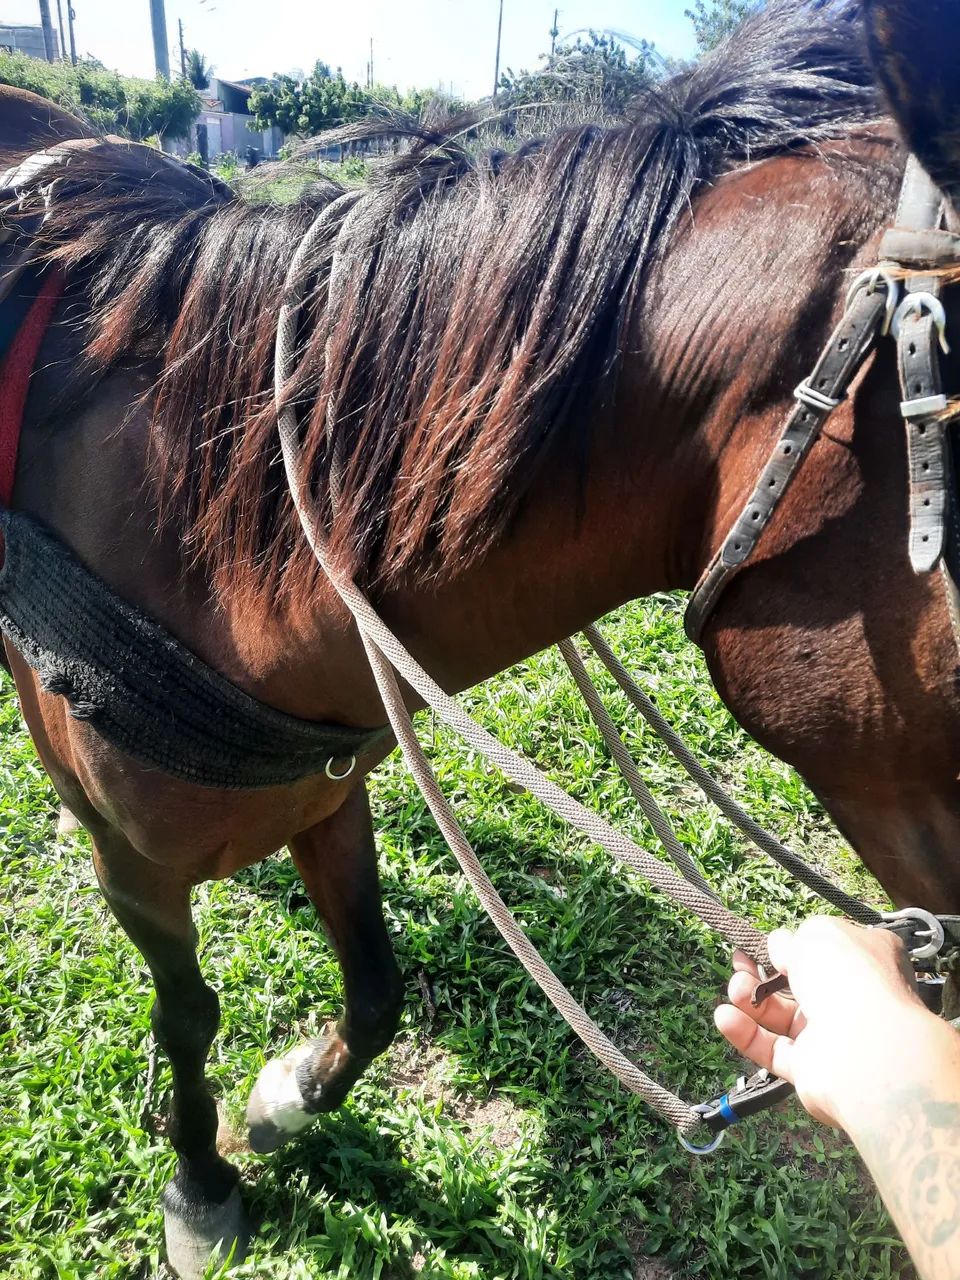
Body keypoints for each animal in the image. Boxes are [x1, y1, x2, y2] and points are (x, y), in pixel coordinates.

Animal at [3, 0, 959, 1272]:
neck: (192, 527)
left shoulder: (331, 775)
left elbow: (375, 983)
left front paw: (292, 1097)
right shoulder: (131, 859)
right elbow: (187, 1015)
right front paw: (202, 1183)